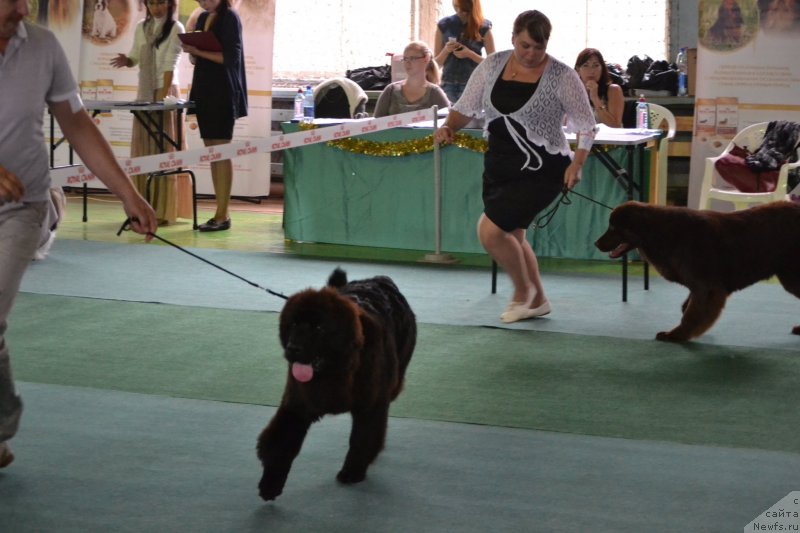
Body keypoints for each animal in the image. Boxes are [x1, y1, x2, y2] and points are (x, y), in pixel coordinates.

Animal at [258, 268, 418, 500]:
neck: (336, 369)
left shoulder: (370, 406)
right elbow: (281, 442)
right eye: (294, 323)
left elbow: (362, 439)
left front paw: (352, 472)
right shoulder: (298, 404)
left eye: (318, 327)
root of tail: (382, 279)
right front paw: (270, 484)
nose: (292, 348)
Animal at [596, 200, 800, 340]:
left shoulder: (707, 286)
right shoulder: (700, 286)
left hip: (792, 278)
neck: (662, 233)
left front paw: (675, 335)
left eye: (613, 227)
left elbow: (691, 314)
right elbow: (688, 308)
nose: (596, 243)